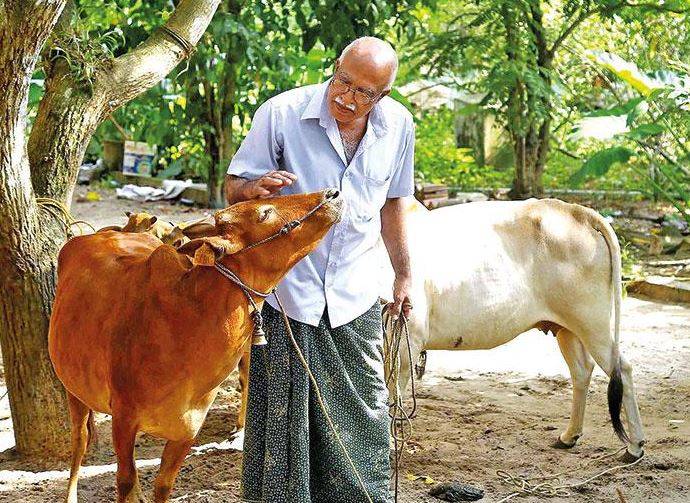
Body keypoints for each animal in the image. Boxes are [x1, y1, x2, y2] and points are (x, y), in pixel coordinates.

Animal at [49, 190, 342, 503]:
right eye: (265, 212)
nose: (332, 194)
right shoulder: (123, 420)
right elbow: (125, 481)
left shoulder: (187, 431)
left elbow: (162, 485)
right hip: (74, 389)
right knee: (80, 442)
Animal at [384, 197, 644, 460]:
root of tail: (578, 212)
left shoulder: (407, 342)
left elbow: (391, 394)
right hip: (567, 328)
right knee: (582, 370)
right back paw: (569, 436)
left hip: (592, 322)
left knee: (622, 368)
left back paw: (635, 446)